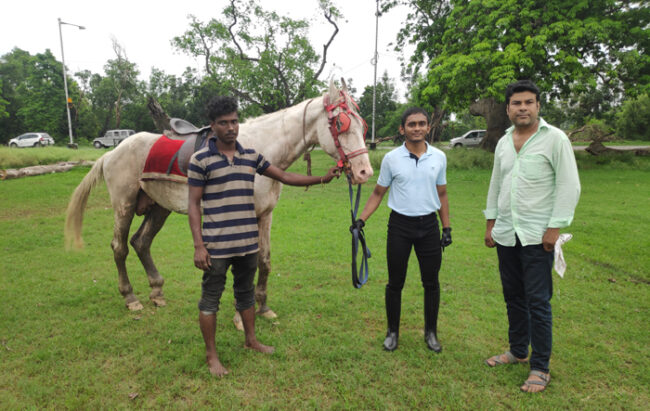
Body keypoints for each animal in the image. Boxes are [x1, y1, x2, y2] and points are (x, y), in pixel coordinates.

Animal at [64, 82, 373, 328]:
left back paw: (156, 292)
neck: (261, 149)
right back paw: (130, 297)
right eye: (341, 124)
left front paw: (262, 307)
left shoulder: (265, 215)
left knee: (141, 242)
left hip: (159, 207)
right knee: (120, 247)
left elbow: (264, 261)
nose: (364, 172)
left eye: (363, 125)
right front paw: (241, 316)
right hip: (124, 205)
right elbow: (245, 265)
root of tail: (112, 152)